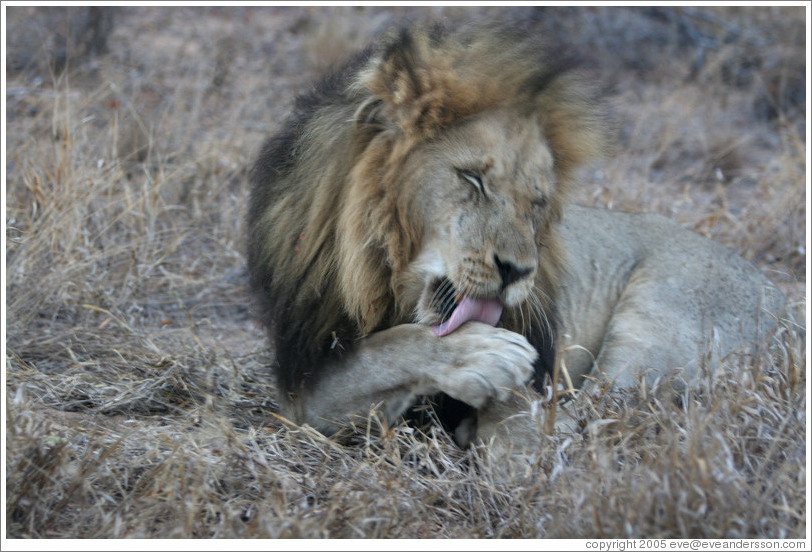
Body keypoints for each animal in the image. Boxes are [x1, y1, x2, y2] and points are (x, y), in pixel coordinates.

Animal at [246, 23, 788, 450]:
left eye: (538, 202)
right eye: (473, 179)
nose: (517, 271)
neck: (385, 280)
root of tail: (787, 299)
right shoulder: (301, 388)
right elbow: (382, 352)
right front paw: (482, 355)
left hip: (657, 321)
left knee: (587, 417)